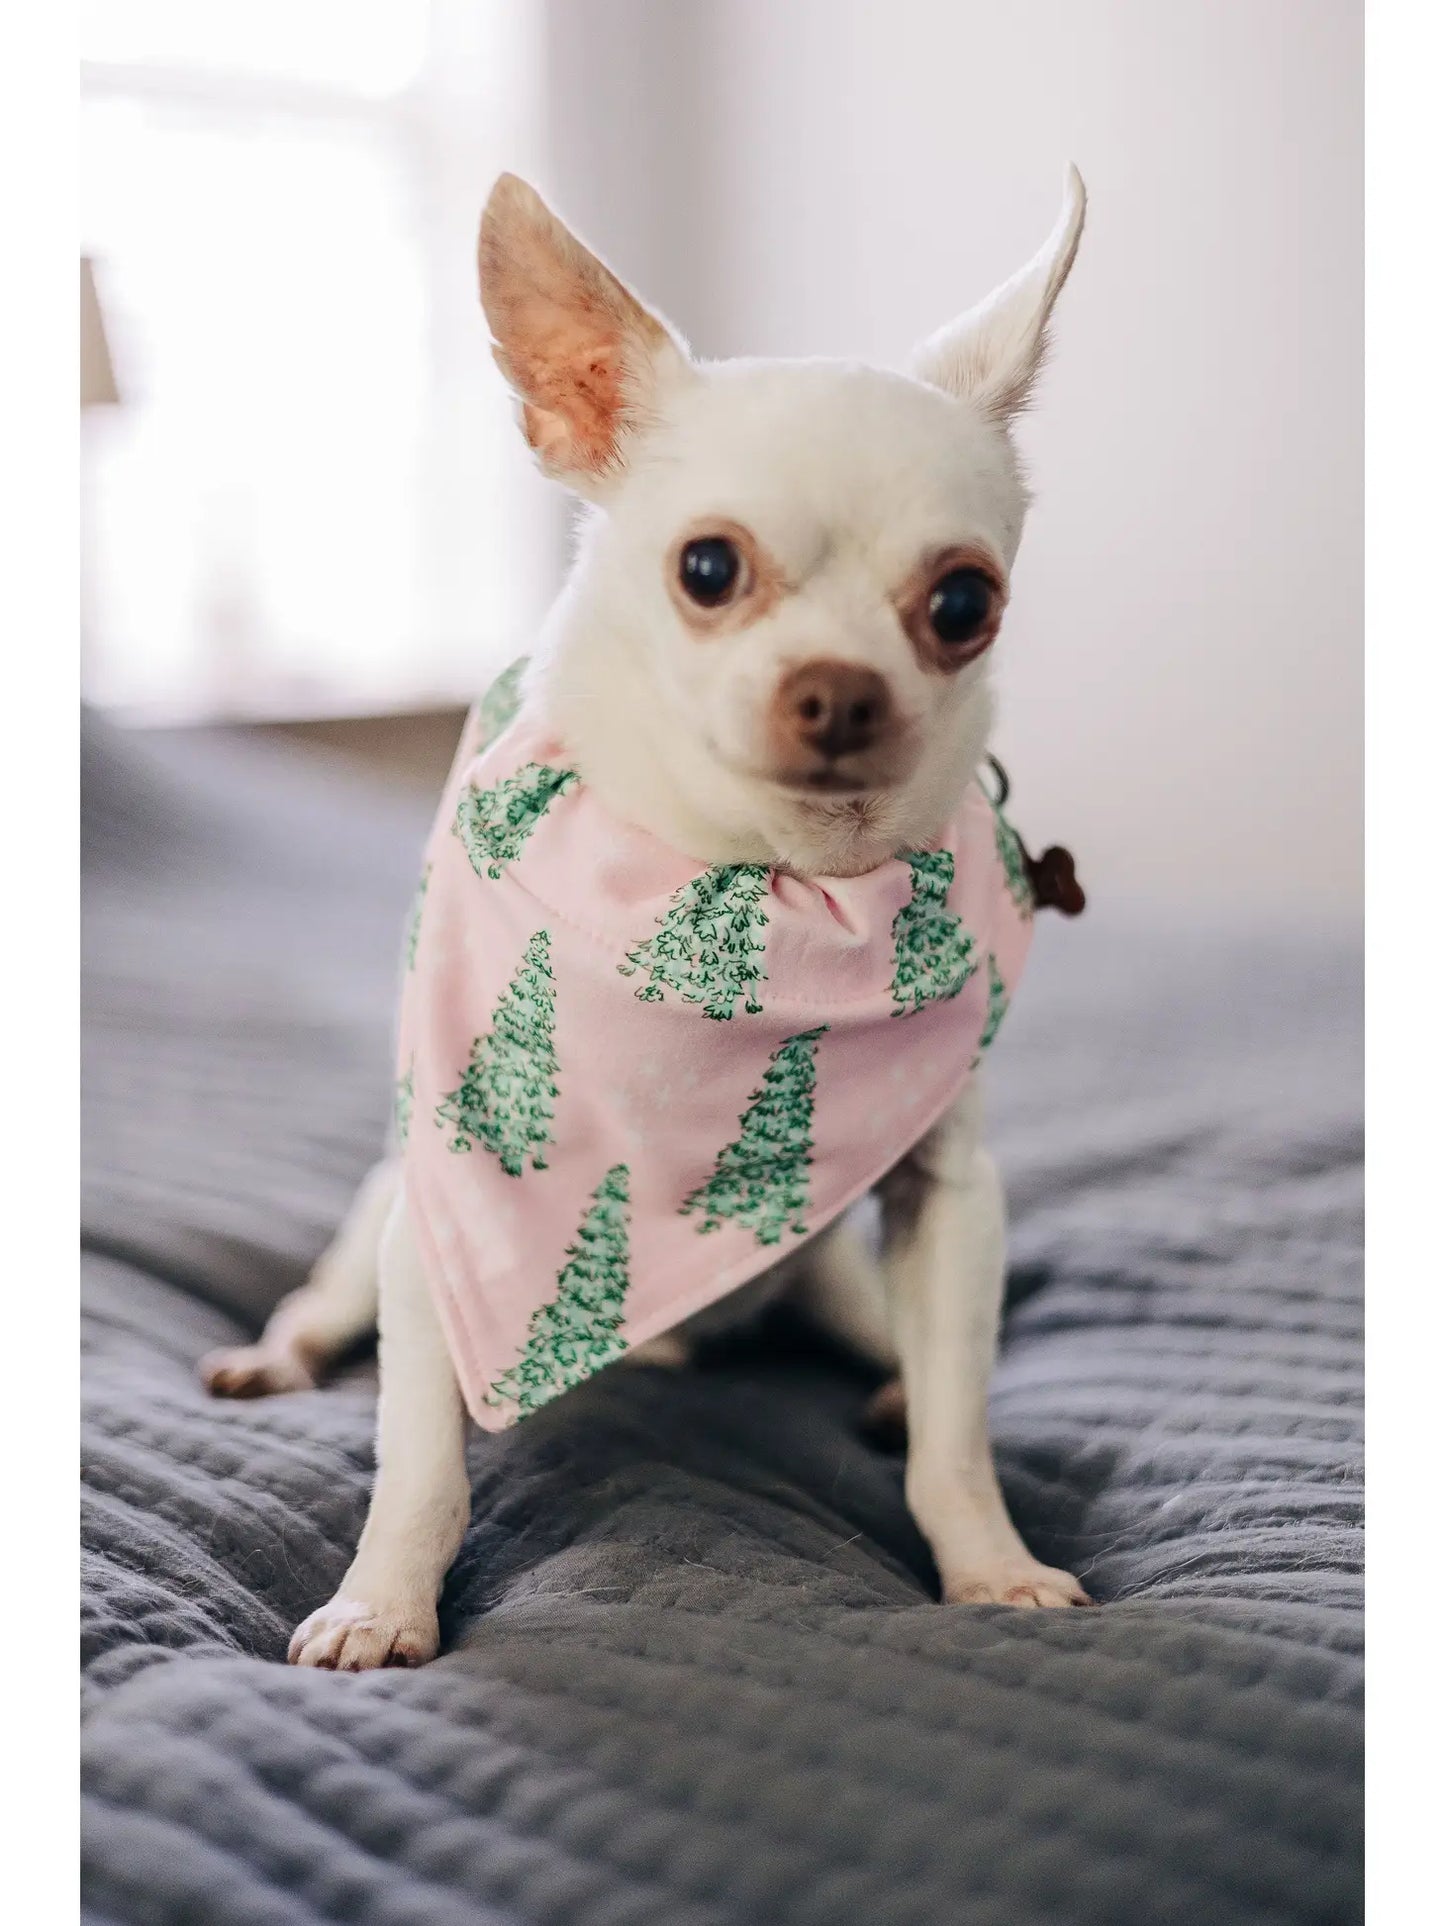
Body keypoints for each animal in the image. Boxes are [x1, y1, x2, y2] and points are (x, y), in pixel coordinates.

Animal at [201, 169, 1086, 1671]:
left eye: (963, 602)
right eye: (708, 569)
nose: (842, 689)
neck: (765, 884)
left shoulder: (947, 1200)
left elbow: (959, 1442)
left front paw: (988, 1565)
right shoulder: (444, 1227)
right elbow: (418, 1458)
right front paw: (382, 1604)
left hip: (842, 1274)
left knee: (905, 1354)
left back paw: (893, 1389)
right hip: (378, 1221)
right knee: (322, 1302)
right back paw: (277, 1351)